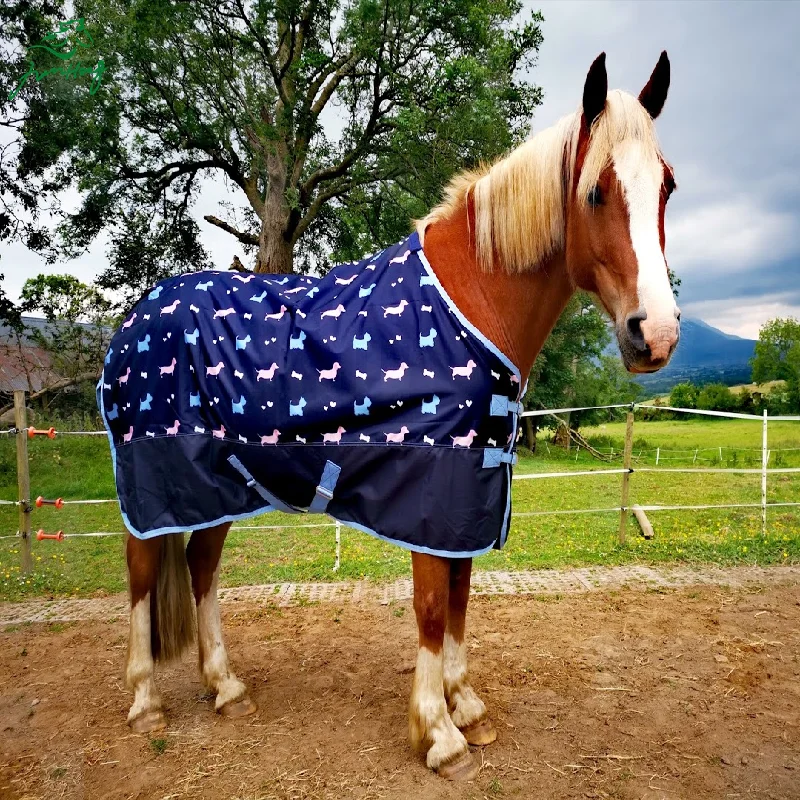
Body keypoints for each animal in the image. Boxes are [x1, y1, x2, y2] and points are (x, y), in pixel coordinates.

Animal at [108, 52, 678, 781]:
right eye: (596, 192)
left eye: (666, 186)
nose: (655, 333)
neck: (467, 307)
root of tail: (138, 317)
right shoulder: (432, 493)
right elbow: (433, 608)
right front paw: (438, 734)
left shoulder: (470, 496)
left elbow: (461, 599)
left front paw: (467, 707)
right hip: (155, 482)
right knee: (142, 575)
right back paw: (145, 701)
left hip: (218, 486)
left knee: (202, 569)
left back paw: (226, 688)